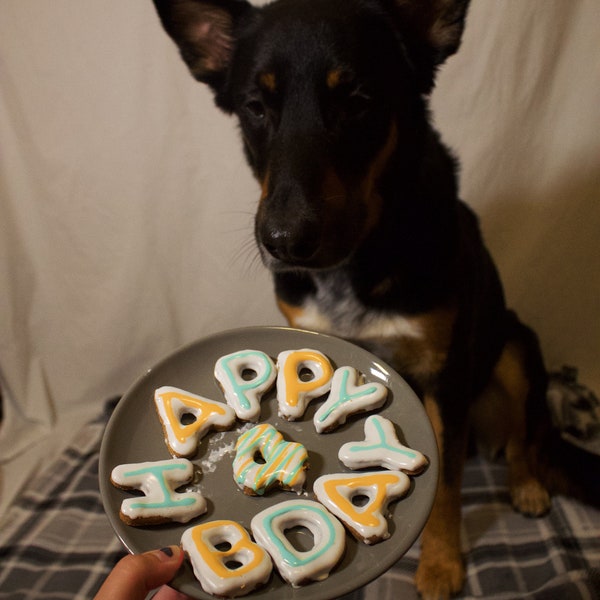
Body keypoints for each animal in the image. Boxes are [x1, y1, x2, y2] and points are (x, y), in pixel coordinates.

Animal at [151, 2, 596, 596]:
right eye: (255, 108)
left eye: (357, 101)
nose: (284, 242)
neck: (357, 261)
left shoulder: (444, 375)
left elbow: (448, 486)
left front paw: (439, 565)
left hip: (515, 345)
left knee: (528, 436)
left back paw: (525, 484)